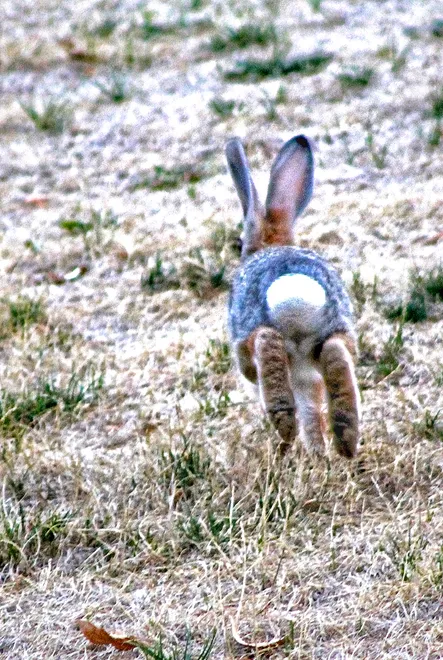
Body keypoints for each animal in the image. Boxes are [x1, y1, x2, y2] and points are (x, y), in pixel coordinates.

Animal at [225, 134, 360, 458]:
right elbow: (311, 411)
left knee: (266, 343)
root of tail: (295, 290)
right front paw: (317, 453)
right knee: (336, 354)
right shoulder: (307, 378)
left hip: (256, 330)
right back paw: (346, 437)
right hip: (334, 330)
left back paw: (284, 422)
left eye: (238, 243)